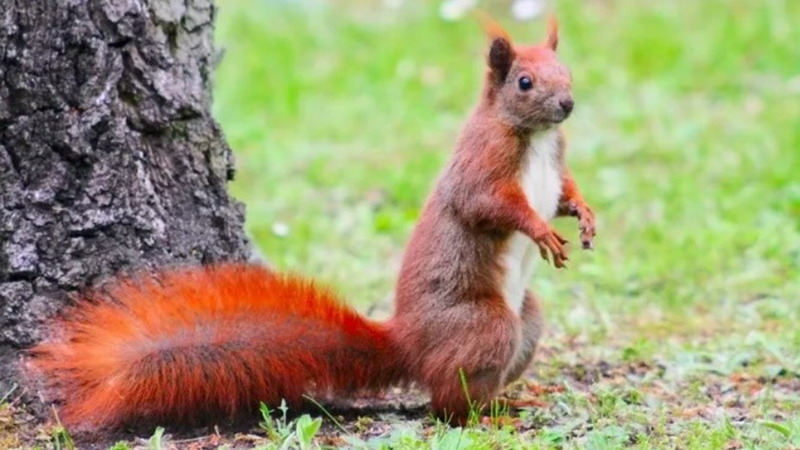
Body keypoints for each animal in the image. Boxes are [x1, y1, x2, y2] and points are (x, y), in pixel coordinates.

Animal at [30, 17, 595, 431]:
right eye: (524, 82)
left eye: (566, 70)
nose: (568, 104)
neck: (535, 137)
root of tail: (407, 344)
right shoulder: (481, 164)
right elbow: (489, 205)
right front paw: (540, 231)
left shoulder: (553, 165)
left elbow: (564, 193)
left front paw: (584, 216)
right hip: (484, 325)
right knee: (446, 404)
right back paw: (489, 415)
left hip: (525, 320)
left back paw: (510, 402)